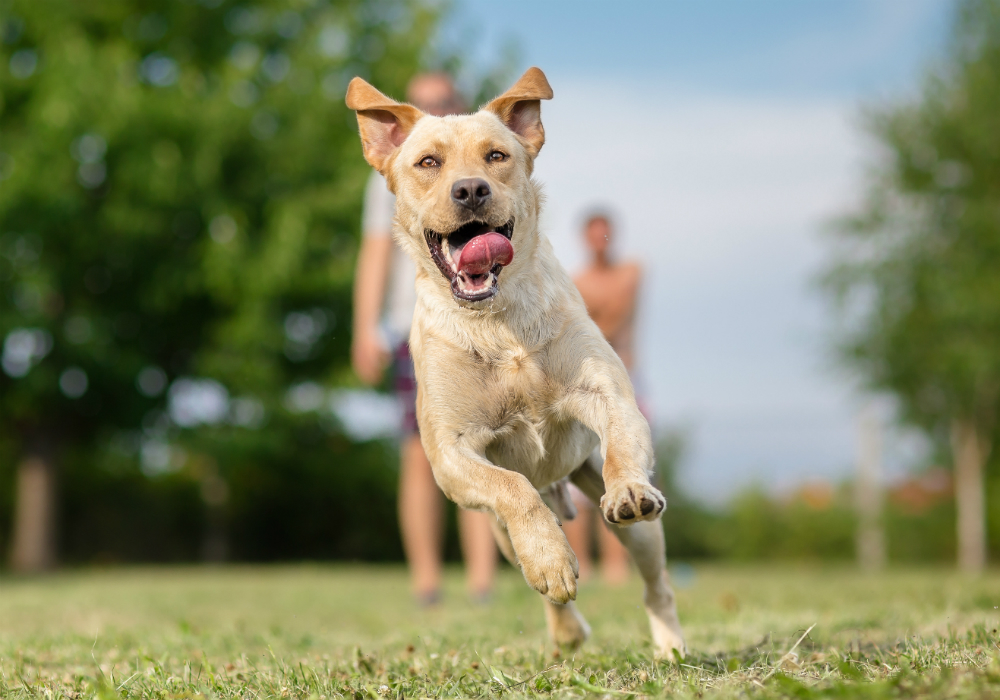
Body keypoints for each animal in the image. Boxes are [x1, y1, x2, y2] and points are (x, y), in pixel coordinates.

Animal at [348, 65, 684, 656]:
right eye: (428, 162)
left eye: (496, 156)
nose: (471, 189)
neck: (496, 321)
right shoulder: (451, 453)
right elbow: (513, 488)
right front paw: (551, 560)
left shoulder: (608, 395)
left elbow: (622, 445)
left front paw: (625, 487)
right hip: (499, 534)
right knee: (539, 563)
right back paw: (566, 627)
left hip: (639, 530)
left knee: (655, 584)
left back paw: (669, 645)